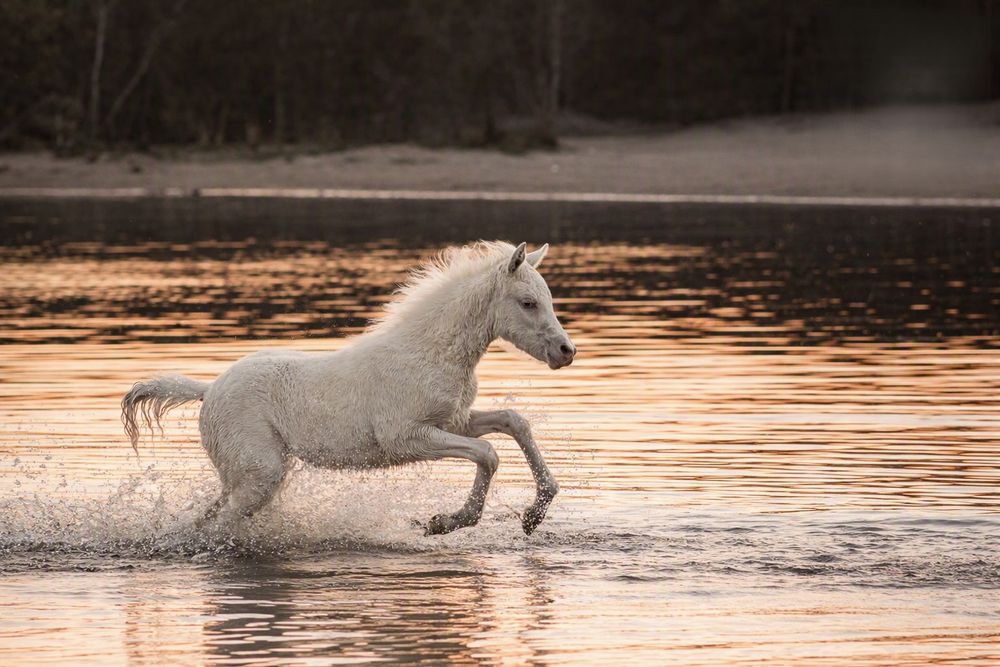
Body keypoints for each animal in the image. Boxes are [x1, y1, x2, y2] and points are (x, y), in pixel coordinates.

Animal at [121, 241, 576, 536]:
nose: (566, 352)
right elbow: (488, 453)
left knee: (208, 519)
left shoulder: (453, 421)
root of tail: (208, 389)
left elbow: (514, 422)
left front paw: (535, 513)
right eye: (528, 303)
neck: (429, 352)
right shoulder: (406, 437)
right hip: (261, 475)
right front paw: (446, 522)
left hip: (246, 476)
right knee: (219, 527)